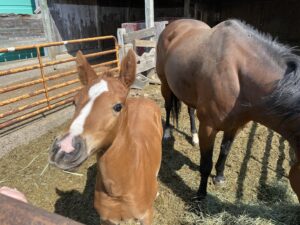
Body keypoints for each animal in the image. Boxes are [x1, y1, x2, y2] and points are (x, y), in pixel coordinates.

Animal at [49, 50, 162, 224]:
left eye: (118, 106)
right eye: (74, 101)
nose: (64, 149)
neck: (118, 191)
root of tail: (143, 99)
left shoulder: (146, 216)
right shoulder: (106, 219)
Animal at [156, 18, 300, 200]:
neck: (238, 76)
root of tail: (173, 24)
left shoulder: (236, 126)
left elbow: (225, 151)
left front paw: (219, 177)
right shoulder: (208, 128)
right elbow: (206, 163)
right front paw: (201, 194)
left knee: (190, 111)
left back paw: (193, 137)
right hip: (165, 83)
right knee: (168, 107)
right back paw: (167, 132)